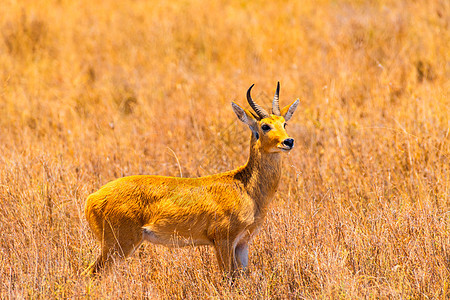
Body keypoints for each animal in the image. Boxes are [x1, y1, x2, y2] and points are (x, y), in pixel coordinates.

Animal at [82, 82, 300, 276]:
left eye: (284, 123)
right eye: (265, 126)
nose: (288, 141)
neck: (245, 186)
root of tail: (92, 198)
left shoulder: (243, 243)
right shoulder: (223, 240)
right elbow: (228, 277)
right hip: (118, 245)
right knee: (90, 274)